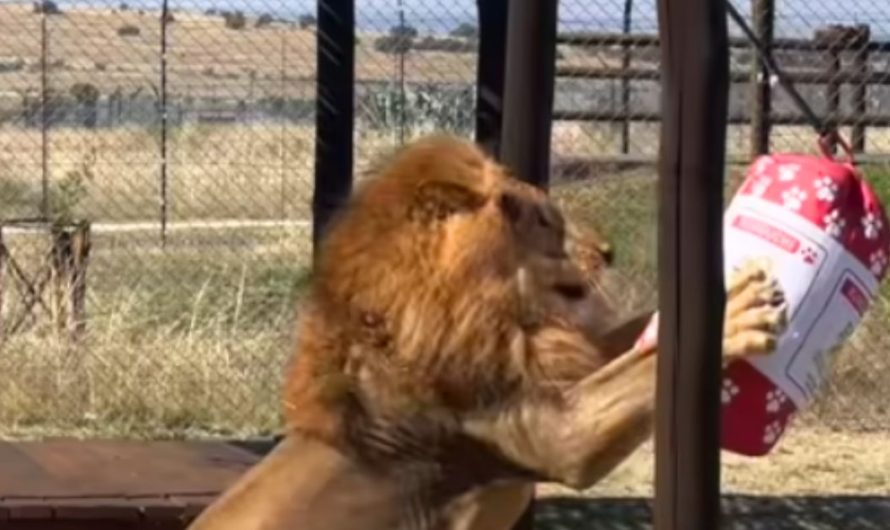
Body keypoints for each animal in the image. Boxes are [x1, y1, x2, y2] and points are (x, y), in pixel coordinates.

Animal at [187, 135, 784, 528]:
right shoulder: (553, 435)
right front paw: (738, 310)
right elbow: (643, 370)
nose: (610, 251)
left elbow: (634, 345)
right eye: (546, 222)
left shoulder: (547, 360)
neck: (496, 312)